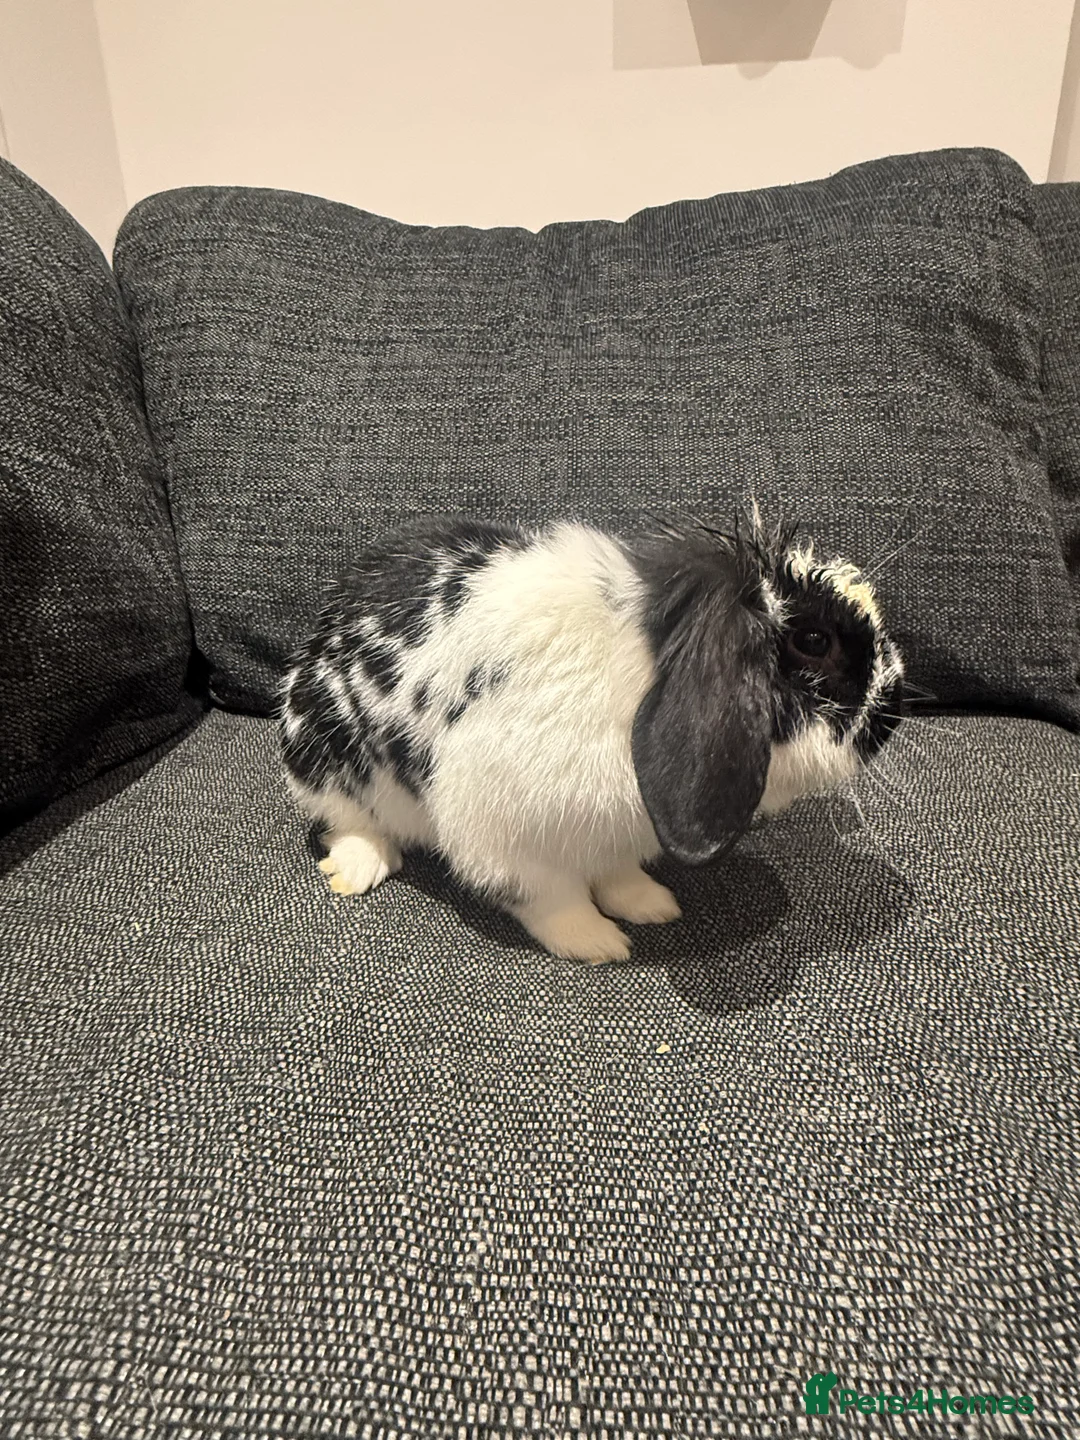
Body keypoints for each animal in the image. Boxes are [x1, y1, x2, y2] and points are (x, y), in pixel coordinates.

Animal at [280, 510, 905, 963]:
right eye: (814, 641)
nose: (892, 714)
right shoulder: (505, 838)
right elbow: (552, 900)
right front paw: (600, 944)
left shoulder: (614, 838)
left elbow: (617, 875)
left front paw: (652, 906)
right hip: (320, 759)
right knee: (348, 820)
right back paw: (356, 871)